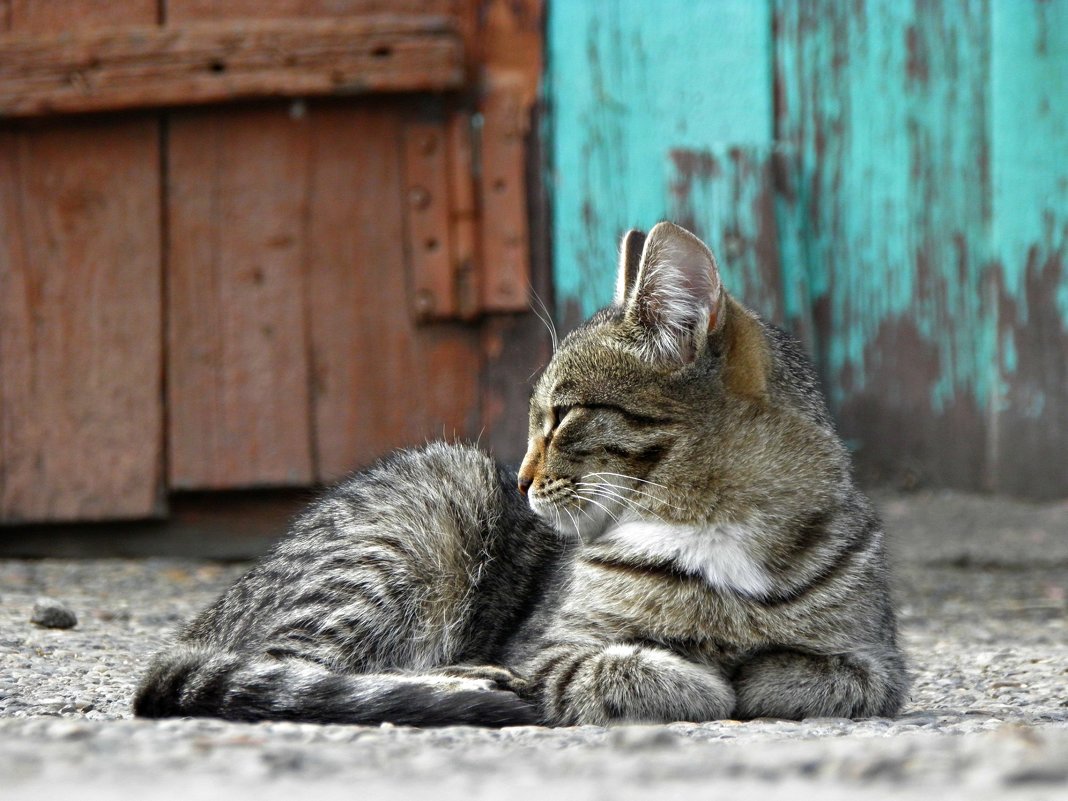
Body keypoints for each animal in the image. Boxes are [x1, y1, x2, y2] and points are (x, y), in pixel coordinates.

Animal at [131, 221, 901, 726]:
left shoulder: (877, 662)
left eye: (562, 416)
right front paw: (699, 678)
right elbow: (625, 669)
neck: (711, 524)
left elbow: (820, 673)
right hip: (433, 510)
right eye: (536, 417)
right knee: (302, 668)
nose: (525, 480)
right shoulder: (551, 650)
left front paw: (750, 669)